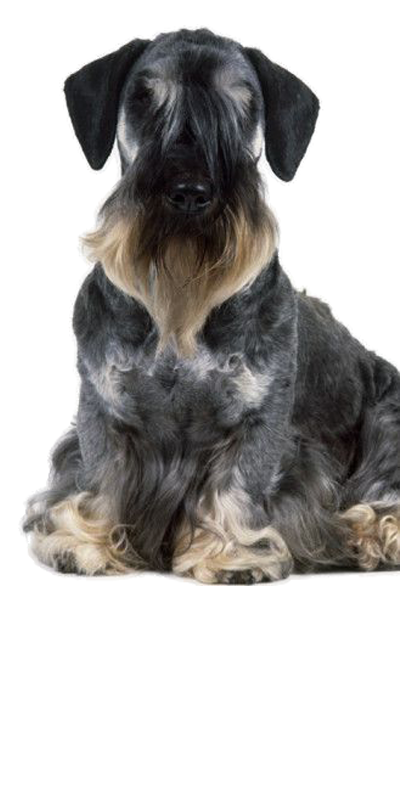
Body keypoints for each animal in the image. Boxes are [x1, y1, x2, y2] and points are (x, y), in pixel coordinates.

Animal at [24, 27, 400, 583]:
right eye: (142, 100)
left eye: (242, 104)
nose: (190, 193)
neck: (179, 315)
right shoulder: (101, 404)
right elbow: (99, 471)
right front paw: (84, 541)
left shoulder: (261, 418)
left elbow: (240, 481)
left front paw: (231, 552)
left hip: (387, 417)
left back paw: (376, 534)